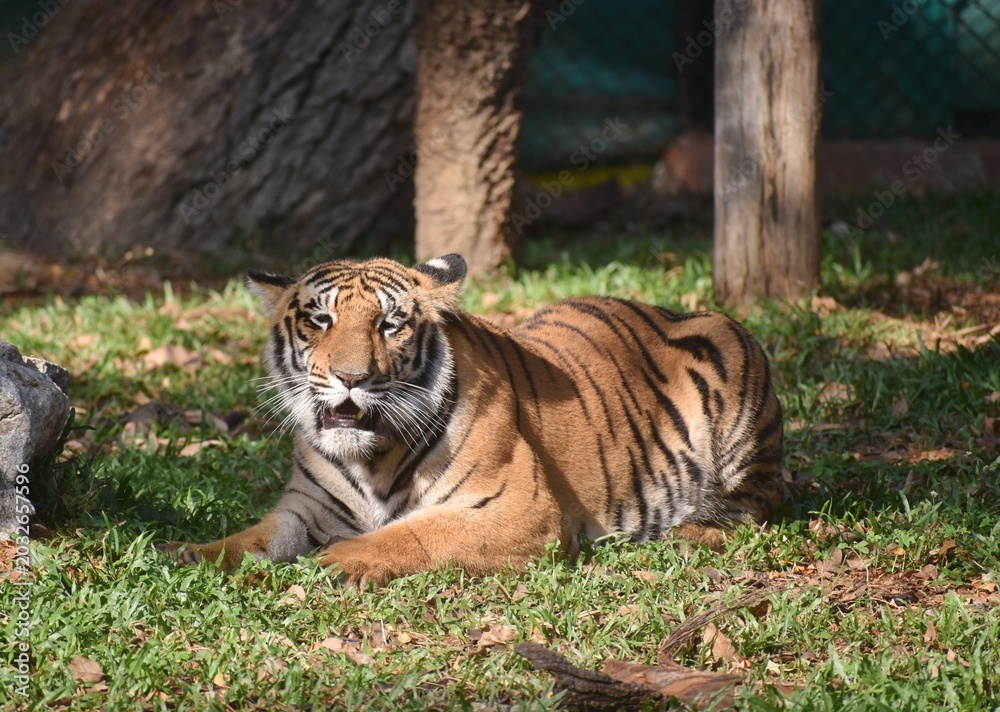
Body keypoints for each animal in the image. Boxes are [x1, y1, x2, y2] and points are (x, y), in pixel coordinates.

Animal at [167, 253, 785, 587]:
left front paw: (337, 561)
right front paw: (190, 553)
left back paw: (688, 534)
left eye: (390, 324)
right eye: (320, 321)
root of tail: (670, 308)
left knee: (754, 507)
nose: (351, 376)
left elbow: (413, 533)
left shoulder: (517, 508)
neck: (369, 457)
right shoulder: (305, 507)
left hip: (734, 371)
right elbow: (253, 536)